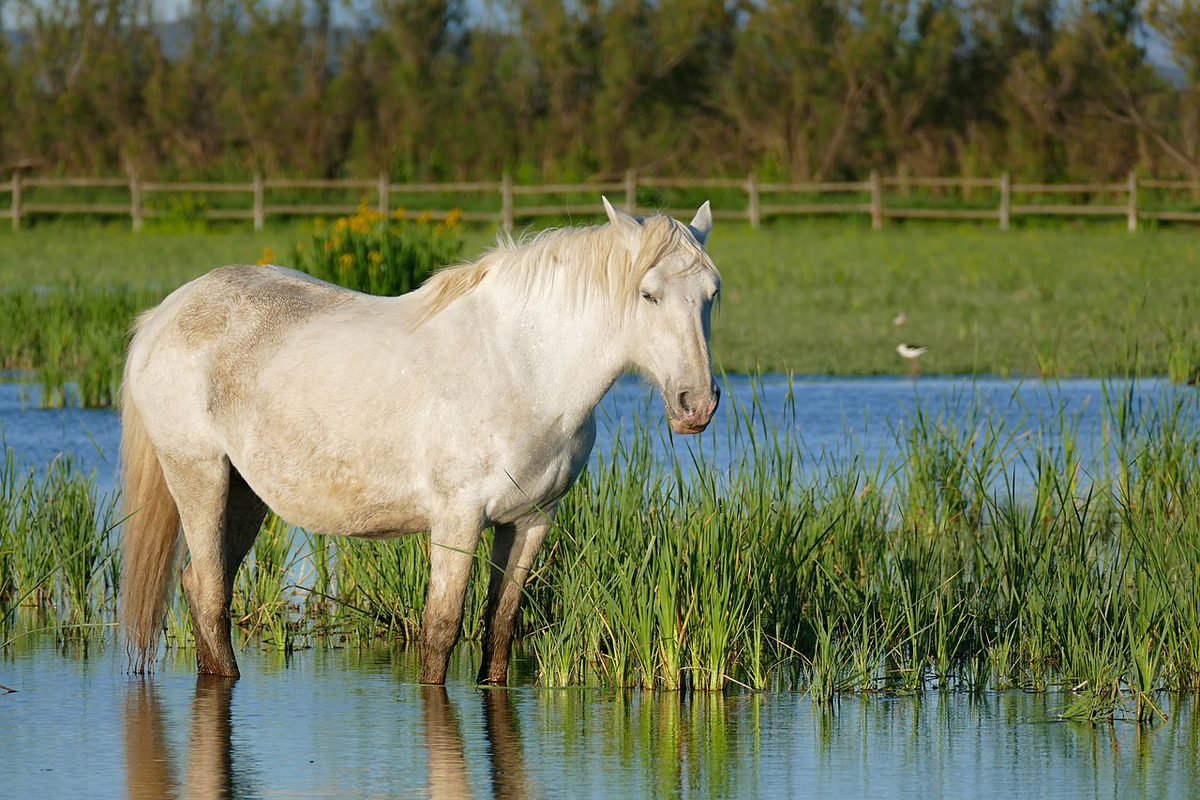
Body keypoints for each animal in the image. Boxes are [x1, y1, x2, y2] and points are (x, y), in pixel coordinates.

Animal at [121, 196, 720, 686]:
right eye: (648, 295)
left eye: (711, 294)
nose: (697, 405)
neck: (523, 367)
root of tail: (165, 313)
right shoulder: (458, 520)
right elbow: (441, 631)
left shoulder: (532, 520)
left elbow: (500, 627)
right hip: (200, 477)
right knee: (211, 592)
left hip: (246, 495)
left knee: (202, 585)